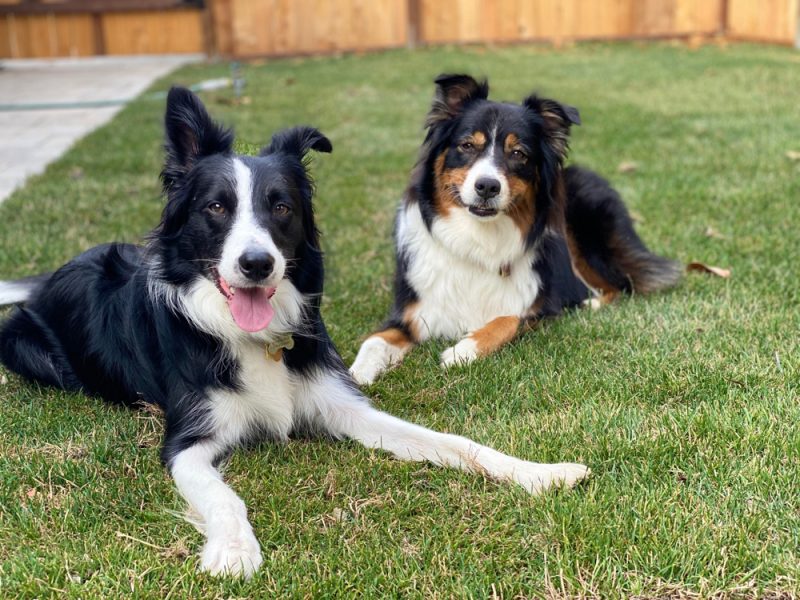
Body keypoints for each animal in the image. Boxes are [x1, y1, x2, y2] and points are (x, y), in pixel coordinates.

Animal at [0, 88, 588, 576]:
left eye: (280, 206)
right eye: (216, 207)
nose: (257, 264)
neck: (253, 341)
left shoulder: (343, 405)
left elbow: (453, 442)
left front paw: (541, 472)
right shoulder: (187, 443)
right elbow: (223, 496)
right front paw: (234, 551)